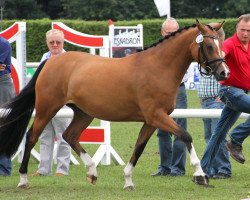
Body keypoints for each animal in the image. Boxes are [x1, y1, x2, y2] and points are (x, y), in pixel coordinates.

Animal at [0, 19, 229, 189]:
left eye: (221, 44)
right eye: (209, 46)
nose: (224, 73)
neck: (158, 67)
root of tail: (52, 60)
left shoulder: (152, 121)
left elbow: (139, 147)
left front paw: (127, 180)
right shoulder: (157, 116)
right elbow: (185, 136)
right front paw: (200, 175)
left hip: (84, 113)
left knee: (70, 135)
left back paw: (92, 172)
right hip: (47, 109)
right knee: (31, 137)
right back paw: (23, 180)